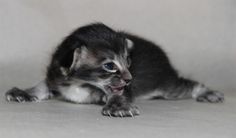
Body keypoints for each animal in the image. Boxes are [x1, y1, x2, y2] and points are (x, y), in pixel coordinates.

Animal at [4, 22, 224, 117]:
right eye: (110, 66)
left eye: (128, 61)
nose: (129, 78)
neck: (79, 83)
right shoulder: (56, 75)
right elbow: (43, 85)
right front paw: (24, 92)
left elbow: (119, 93)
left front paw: (118, 106)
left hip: (167, 86)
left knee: (189, 85)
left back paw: (209, 93)